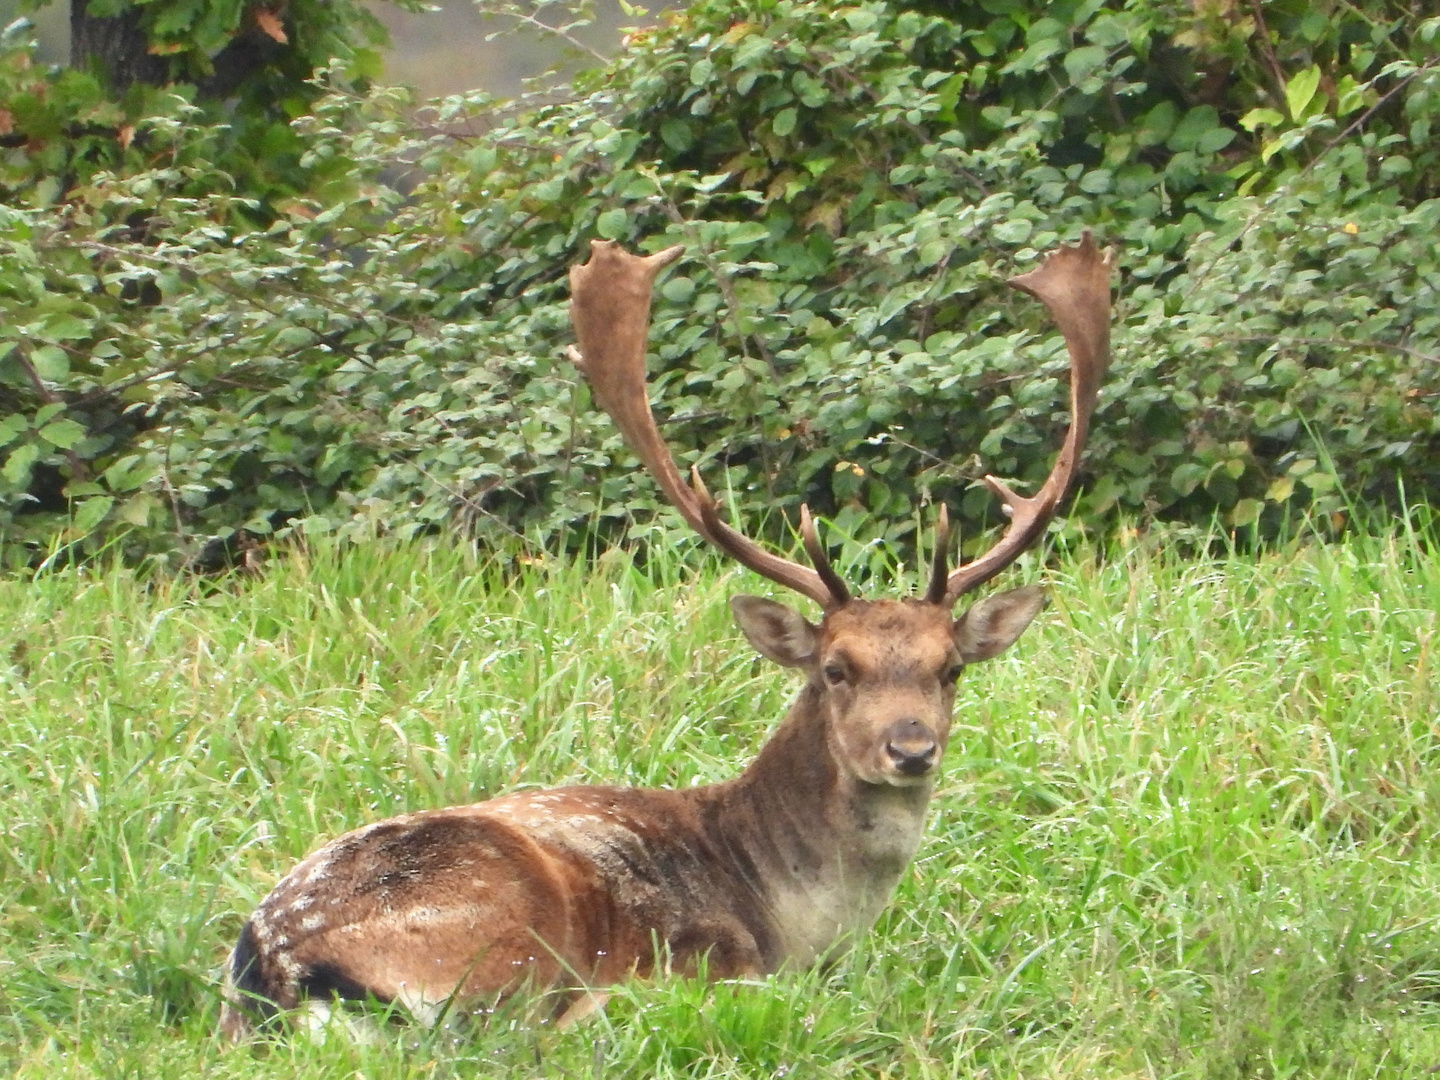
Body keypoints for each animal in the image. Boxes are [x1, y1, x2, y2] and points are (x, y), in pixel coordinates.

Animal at [216, 233, 1111, 1042]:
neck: (795, 916)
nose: (911, 747)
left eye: (950, 667)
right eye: (835, 669)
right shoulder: (710, 946)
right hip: (501, 943)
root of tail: (278, 969)